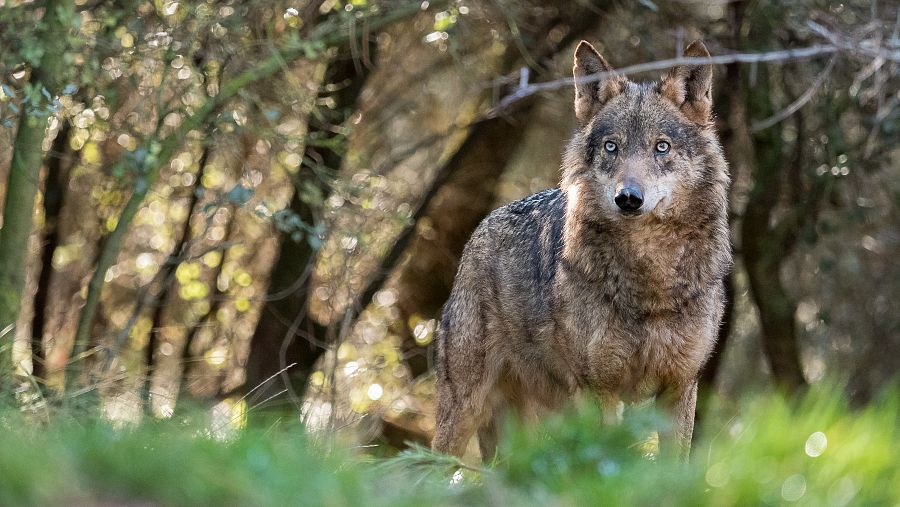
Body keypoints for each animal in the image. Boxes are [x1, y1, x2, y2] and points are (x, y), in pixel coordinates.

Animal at [432, 39, 731, 462]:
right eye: (611, 147)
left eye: (662, 147)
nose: (628, 198)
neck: (649, 282)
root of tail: (482, 226)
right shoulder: (598, 390)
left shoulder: (680, 387)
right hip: (465, 409)